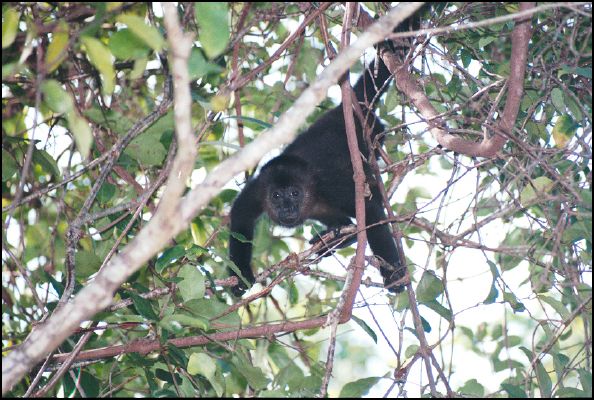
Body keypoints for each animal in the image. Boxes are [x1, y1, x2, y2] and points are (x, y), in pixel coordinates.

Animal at [229, 18, 414, 296]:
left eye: (294, 193)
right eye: (276, 196)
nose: (287, 208)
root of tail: (344, 110)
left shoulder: (331, 185)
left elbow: (371, 214)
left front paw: (394, 275)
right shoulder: (257, 189)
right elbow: (240, 216)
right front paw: (240, 276)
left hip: (372, 131)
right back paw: (337, 236)